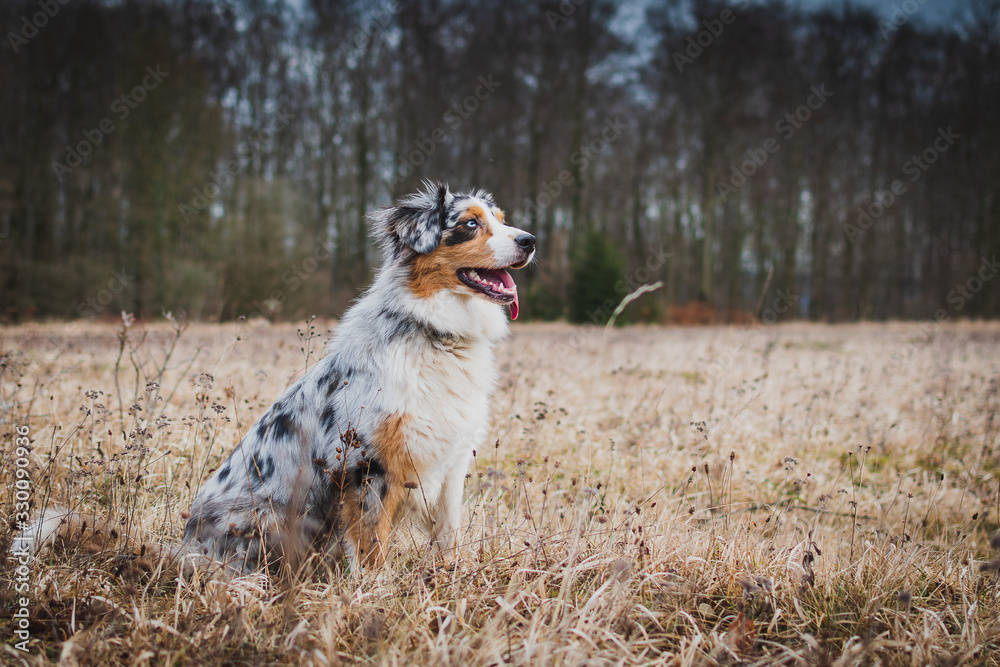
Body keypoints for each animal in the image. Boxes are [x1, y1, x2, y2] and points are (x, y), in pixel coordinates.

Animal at [11, 181, 536, 576]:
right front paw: (374, 598)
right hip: (269, 516)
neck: (436, 332)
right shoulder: (367, 467)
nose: (530, 240)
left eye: (502, 219)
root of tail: (182, 550)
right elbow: (370, 550)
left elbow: (448, 535)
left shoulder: (450, 463)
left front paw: (449, 580)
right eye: (470, 224)